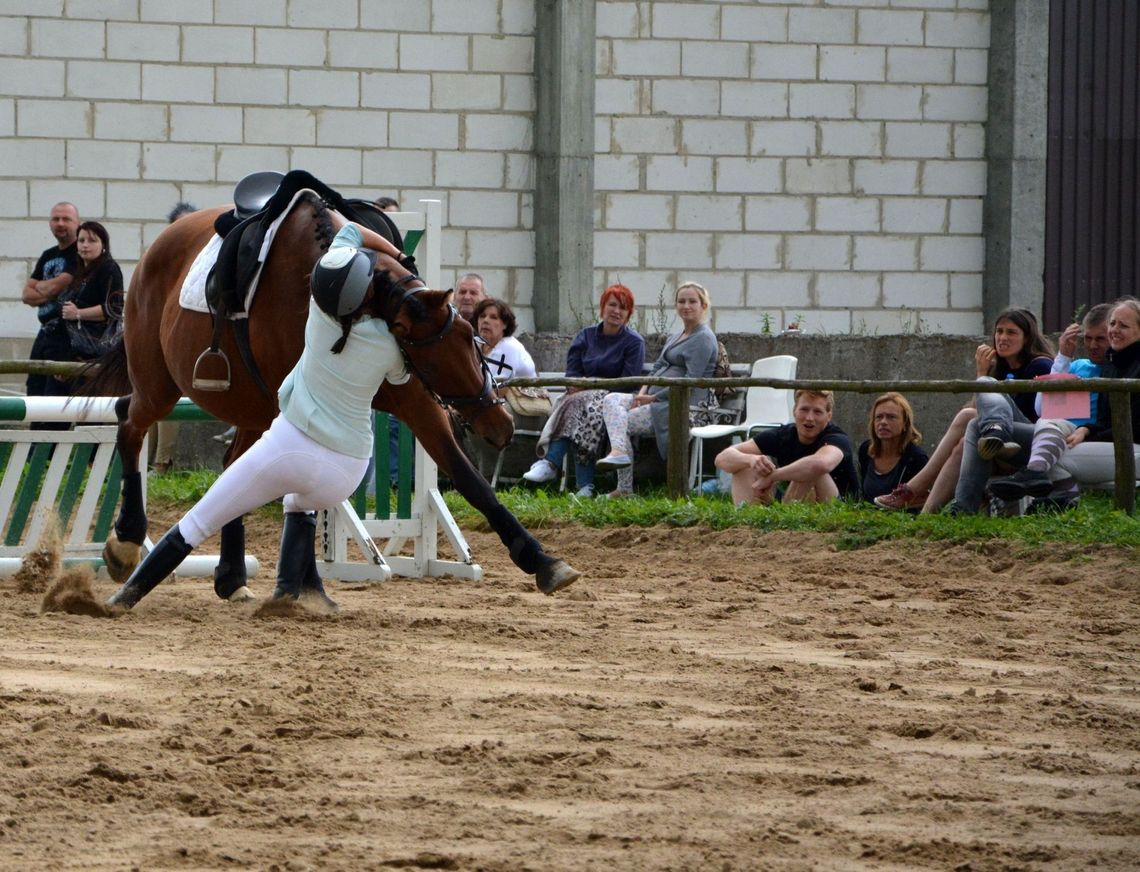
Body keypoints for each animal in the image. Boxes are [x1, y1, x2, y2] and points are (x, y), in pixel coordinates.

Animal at [82, 190, 579, 597]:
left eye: (469, 337)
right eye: (438, 356)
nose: (500, 426)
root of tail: (165, 238)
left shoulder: (416, 402)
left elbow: (470, 480)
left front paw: (541, 561)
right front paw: (305, 583)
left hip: (251, 408)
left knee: (230, 465)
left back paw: (231, 577)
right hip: (161, 388)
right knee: (129, 423)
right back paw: (128, 540)